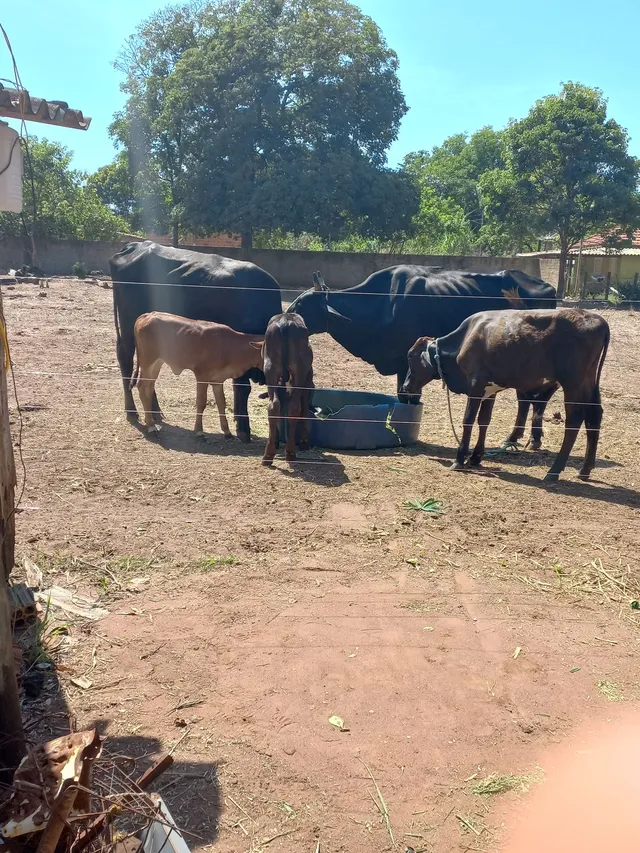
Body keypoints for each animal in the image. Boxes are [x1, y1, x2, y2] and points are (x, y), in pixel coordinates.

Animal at [130, 312, 264, 437]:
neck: (229, 347)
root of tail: (148, 315)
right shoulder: (201, 375)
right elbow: (201, 402)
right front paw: (199, 430)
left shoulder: (218, 380)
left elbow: (221, 403)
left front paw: (227, 431)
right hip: (148, 362)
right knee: (142, 387)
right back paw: (151, 426)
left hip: (157, 363)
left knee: (149, 388)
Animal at [258, 313, 314, 466]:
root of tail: (284, 323)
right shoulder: (307, 384)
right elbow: (304, 410)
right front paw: (304, 442)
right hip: (299, 371)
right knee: (295, 407)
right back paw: (290, 452)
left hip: (270, 369)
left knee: (274, 406)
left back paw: (268, 455)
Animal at [288, 266, 558, 450]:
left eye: (301, 306)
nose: (284, 316)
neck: (382, 303)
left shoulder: (405, 362)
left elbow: (408, 396)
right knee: (527, 398)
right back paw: (518, 438)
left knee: (537, 397)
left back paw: (527, 438)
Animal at [400, 308, 610, 482]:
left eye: (410, 357)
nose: (406, 386)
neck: (466, 338)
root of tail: (598, 319)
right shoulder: (489, 390)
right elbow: (484, 421)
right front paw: (475, 457)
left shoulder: (475, 385)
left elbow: (468, 420)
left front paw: (460, 459)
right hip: (588, 382)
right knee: (594, 415)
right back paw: (585, 469)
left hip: (572, 382)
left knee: (575, 419)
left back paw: (554, 471)